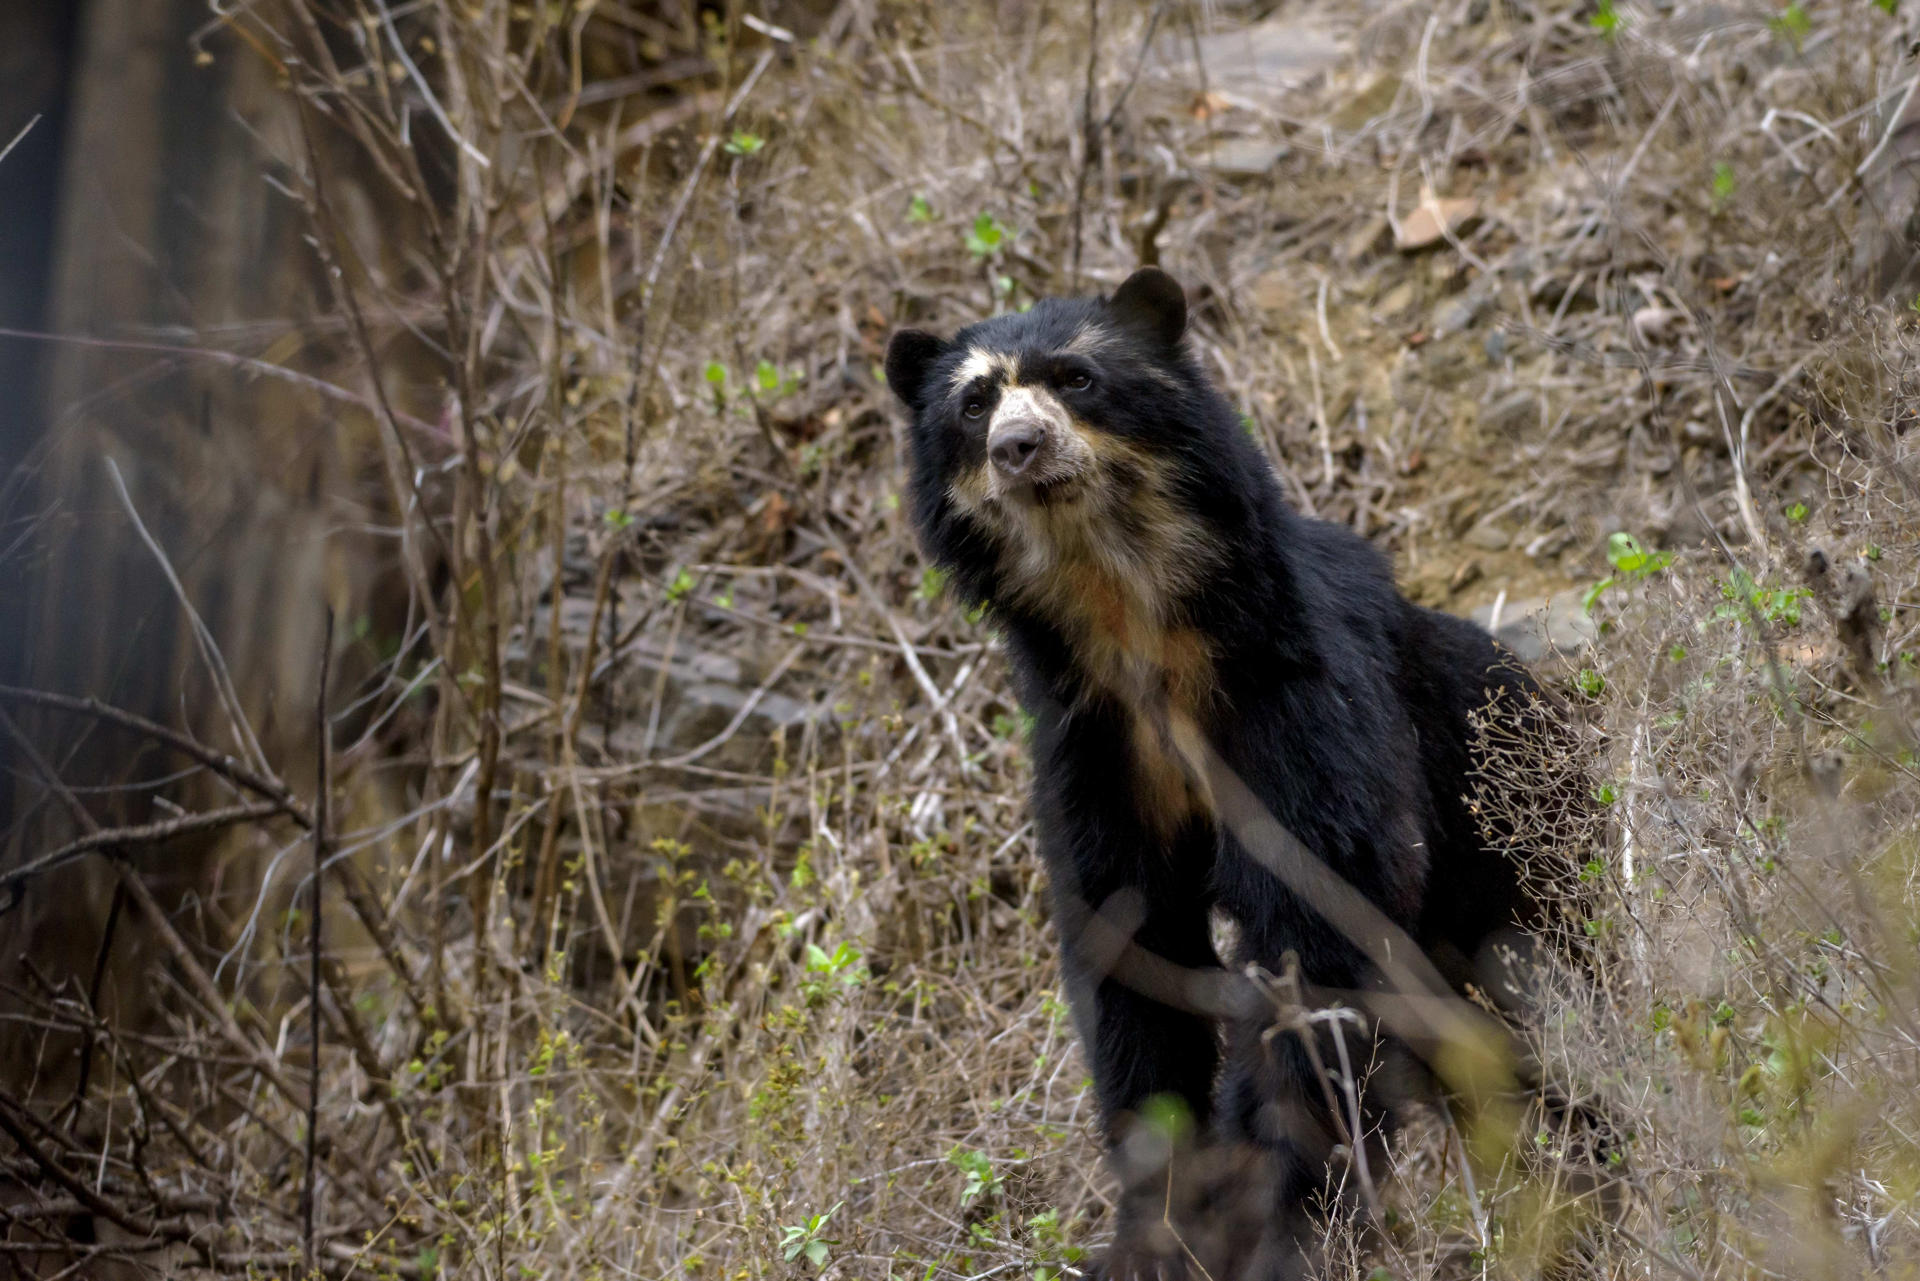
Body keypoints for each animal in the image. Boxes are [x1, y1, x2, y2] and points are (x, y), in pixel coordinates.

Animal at [885, 268, 1595, 1279]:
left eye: (1076, 378)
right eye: (973, 403)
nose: (1018, 447)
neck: (1132, 614)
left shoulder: (1295, 702)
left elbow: (1318, 924)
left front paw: (1281, 1221)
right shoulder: (1092, 750)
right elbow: (1131, 953)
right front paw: (1155, 1231)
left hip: (1523, 850)